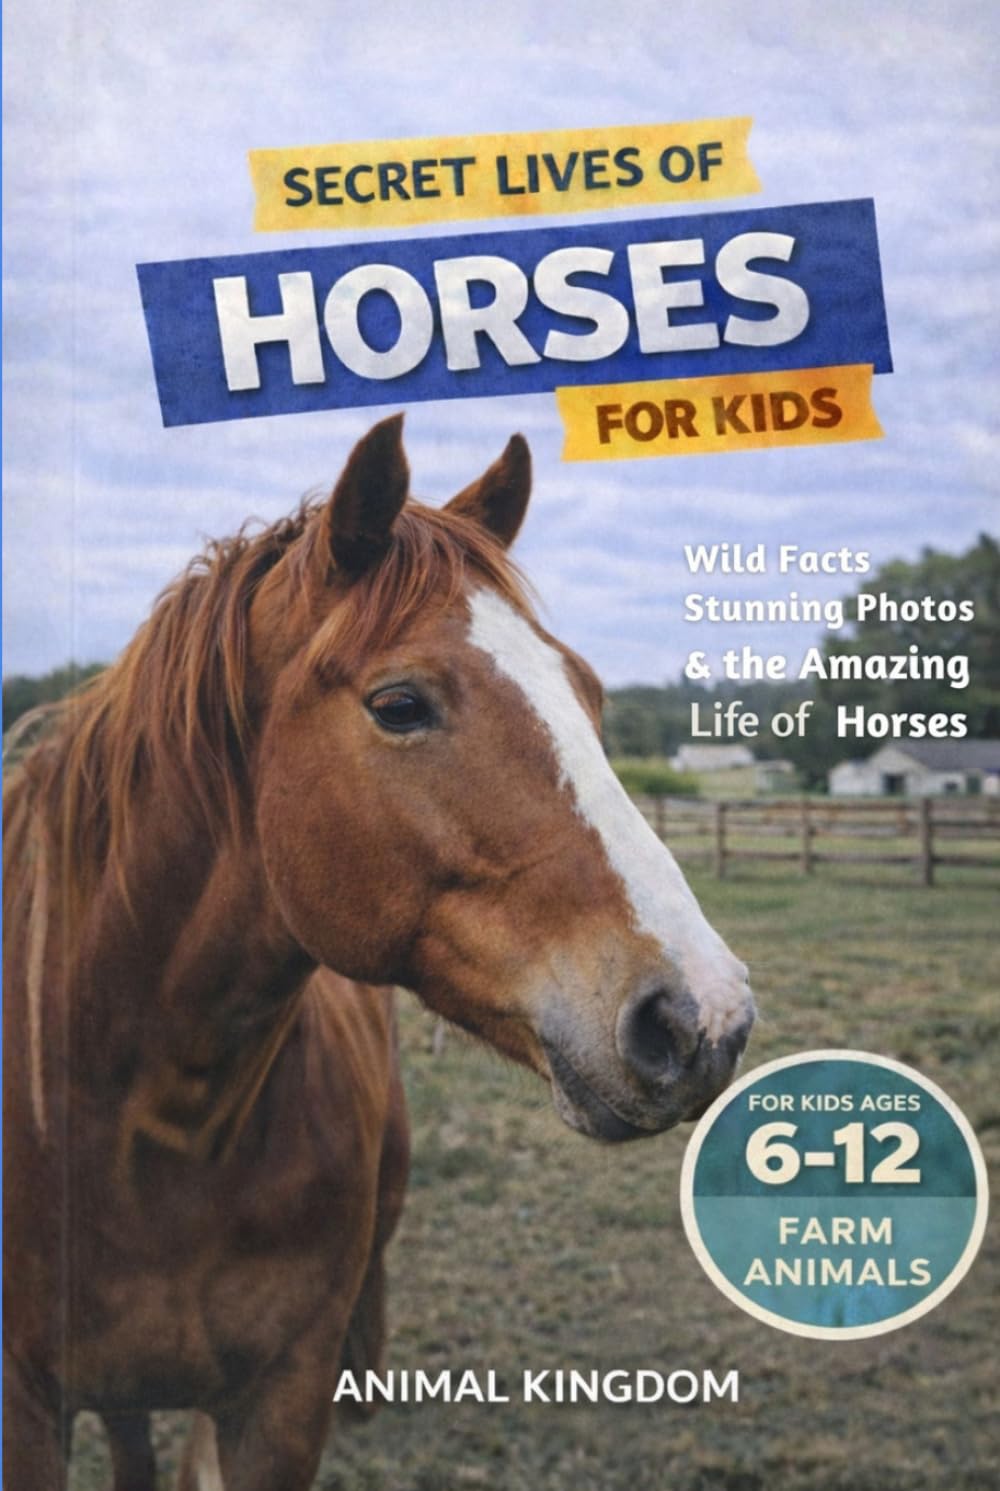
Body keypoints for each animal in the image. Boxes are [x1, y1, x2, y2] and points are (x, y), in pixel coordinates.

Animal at [3, 415, 754, 1490]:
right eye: (400, 704)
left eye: (587, 692)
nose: (703, 1016)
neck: (133, 1120)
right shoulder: (25, 1406)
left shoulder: (282, 1402)